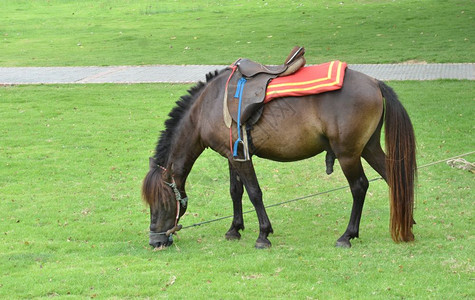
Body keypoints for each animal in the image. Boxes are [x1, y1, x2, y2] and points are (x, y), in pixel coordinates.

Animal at [141, 67, 416, 248]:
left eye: (162, 202)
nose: (155, 241)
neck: (209, 105)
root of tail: (375, 82)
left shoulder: (241, 158)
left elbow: (254, 193)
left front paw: (263, 234)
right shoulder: (232, 156)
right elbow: (235, 191)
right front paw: (234, 229)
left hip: (348, 154)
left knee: (359, 187)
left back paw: (347, 235)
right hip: (368, 148)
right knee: (393, 177)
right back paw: (408, 221)